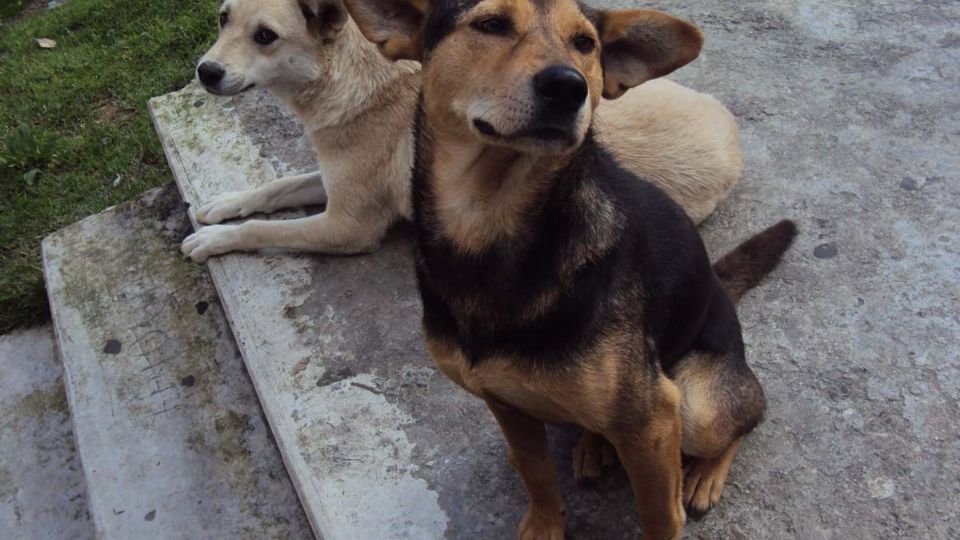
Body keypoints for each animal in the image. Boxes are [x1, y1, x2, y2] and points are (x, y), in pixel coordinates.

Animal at [184, 0, 744, 262]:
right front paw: (223, 204)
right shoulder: (335, 177)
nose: (205, 72)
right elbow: (278, 186)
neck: (348, 78)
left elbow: (266, 230)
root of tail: (732, 135)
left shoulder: (349, 226)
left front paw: (215, 239)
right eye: (222, 18)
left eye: (266, 37)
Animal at [348, 2, 800, 536]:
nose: (568, 87)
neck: (490, 228)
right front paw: (545, 523)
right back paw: (591, 444)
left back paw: (706, 474)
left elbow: (659, 515)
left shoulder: (652, 419)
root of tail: (719, 289)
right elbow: (536, 471)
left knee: (746, 415)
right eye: (490, 24)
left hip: (698, 406)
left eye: (585, 44)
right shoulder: (503, 401)